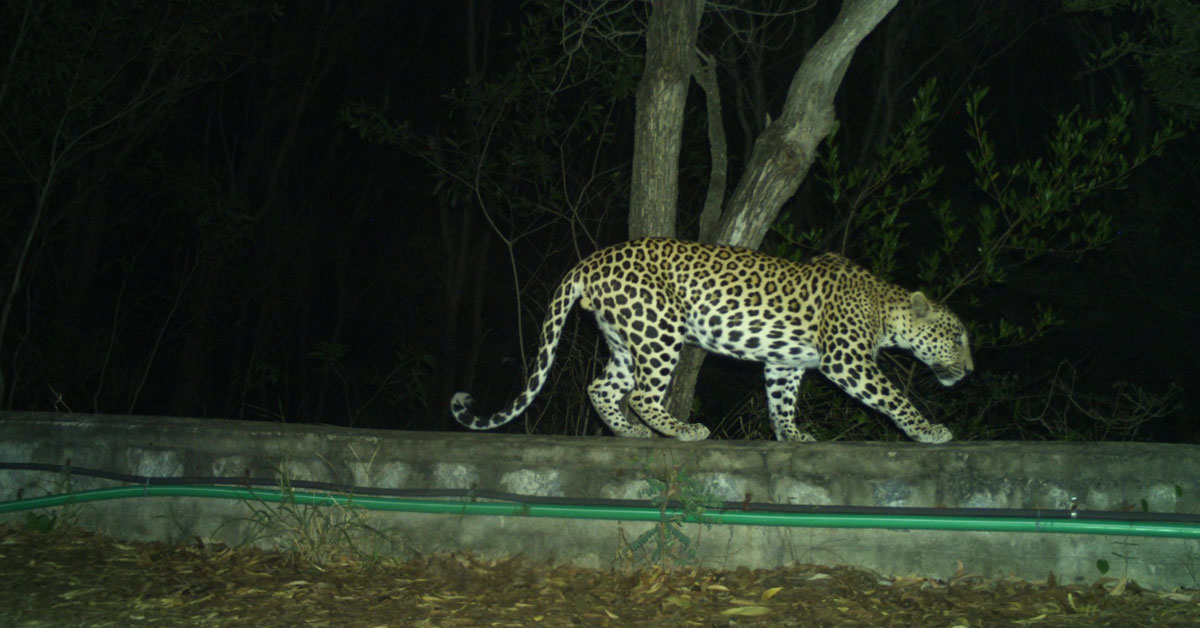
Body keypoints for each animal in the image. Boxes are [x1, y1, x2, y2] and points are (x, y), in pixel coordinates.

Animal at [451, 238, 974, 444]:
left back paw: (630, 432)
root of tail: (592, 259)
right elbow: (894, 396)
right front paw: (929, 430)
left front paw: (791, 435)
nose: (970, 371)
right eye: (956, 336)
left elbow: (781, 401)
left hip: (625, 337)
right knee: (643, 394)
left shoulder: (784, 362)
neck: (886, 308)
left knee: (603, 387)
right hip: (659, 328)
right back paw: (682, 429)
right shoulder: (848, 359)